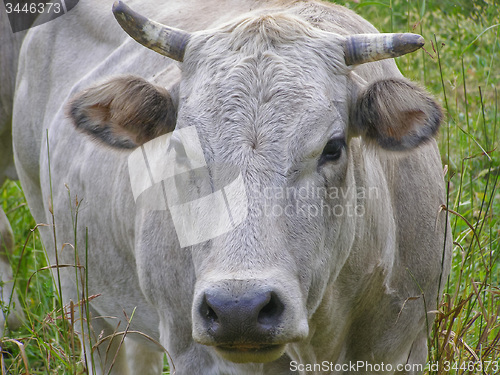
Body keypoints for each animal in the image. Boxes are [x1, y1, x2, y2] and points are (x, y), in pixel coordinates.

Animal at [8, 0, 454, 374]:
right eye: (180, 148)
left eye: (333, 147)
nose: (238, 309)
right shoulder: (193, 352)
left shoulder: (407, 343)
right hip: (81, 297)